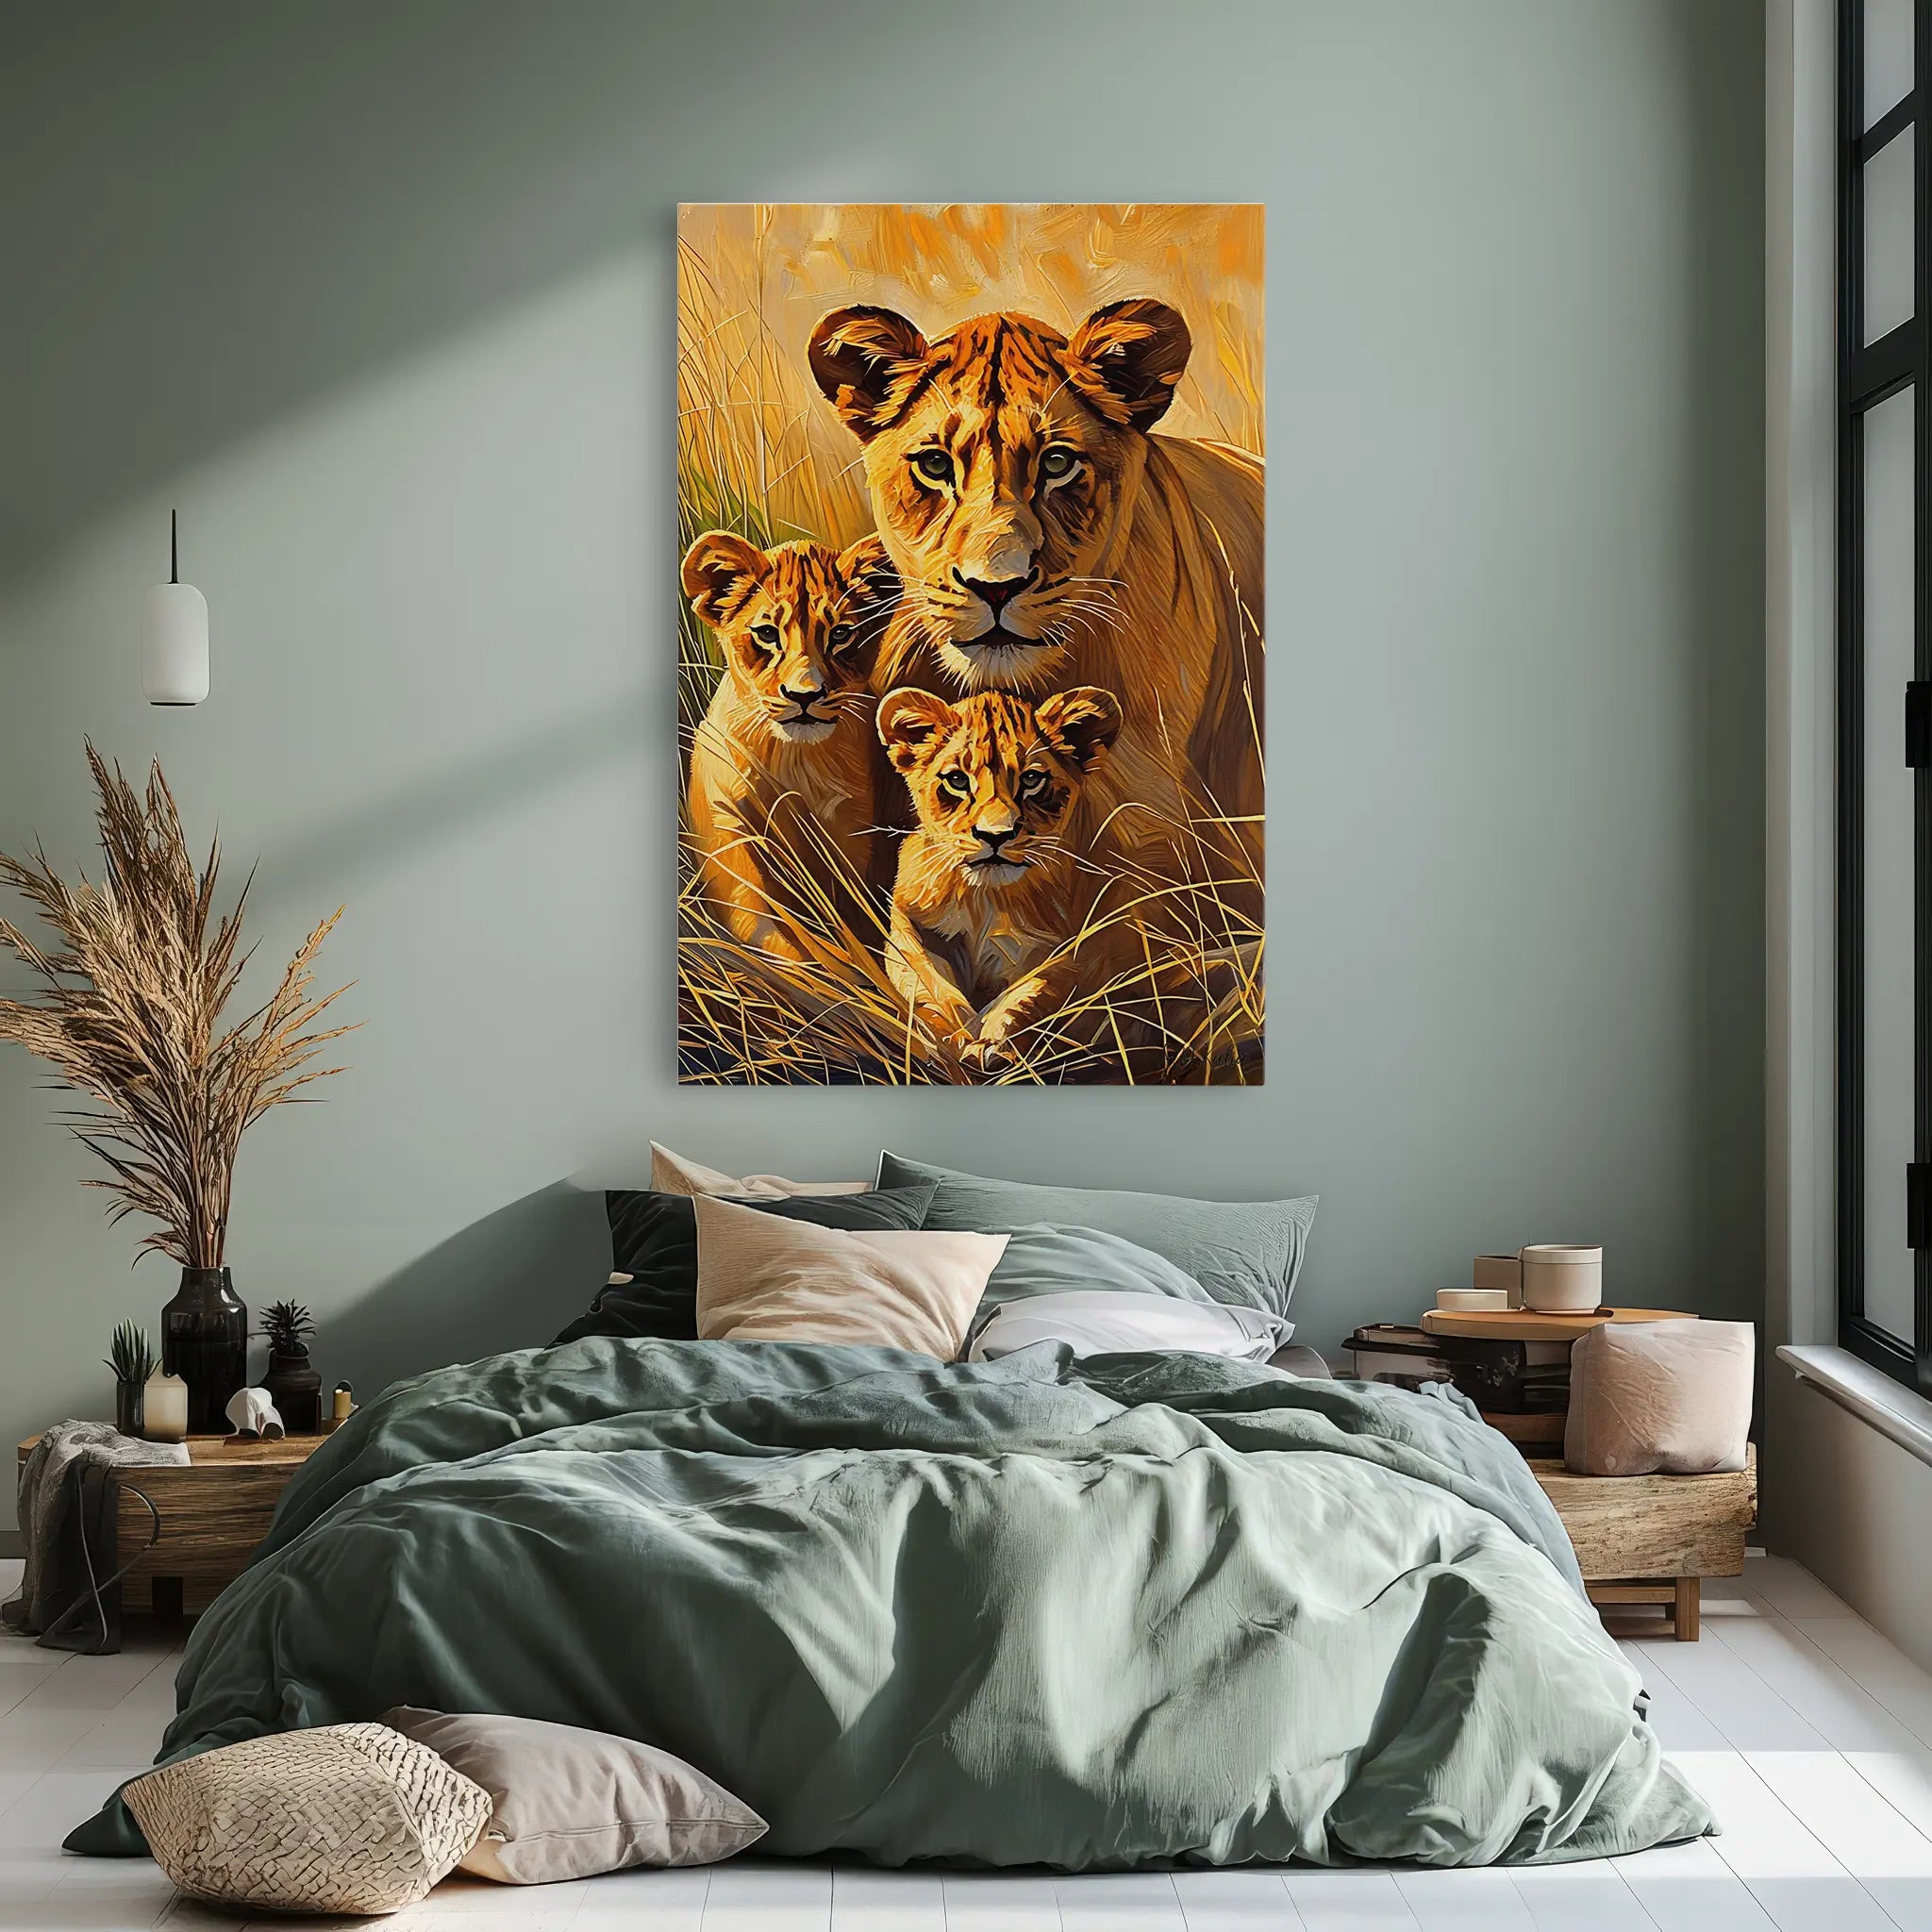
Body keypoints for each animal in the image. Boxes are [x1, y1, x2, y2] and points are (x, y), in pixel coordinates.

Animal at [681, 531, 899, 962]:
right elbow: (778, 943)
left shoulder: (858, 847)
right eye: (767, 633)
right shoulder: (733, 846)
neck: (797, 763)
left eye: (840, 634)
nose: (805, 695)